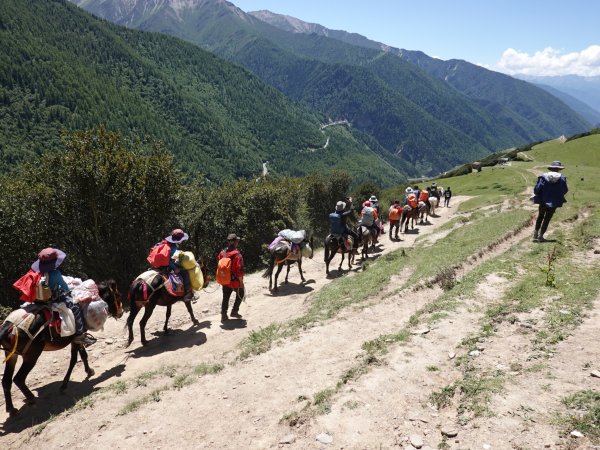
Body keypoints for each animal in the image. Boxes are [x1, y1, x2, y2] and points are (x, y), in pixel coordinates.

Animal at [0, 280, 124, 416]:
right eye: (118, 295)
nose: (121, 312)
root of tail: (10, 326)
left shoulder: (78, 338)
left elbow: (83, 355)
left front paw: (89, 371)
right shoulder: (76, 339)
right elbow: (74, 360)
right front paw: (64, 385)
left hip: (11, 355)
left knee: (6, 381)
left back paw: (11, 409)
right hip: (31, 355)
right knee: (18, 379)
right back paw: (31, 398)